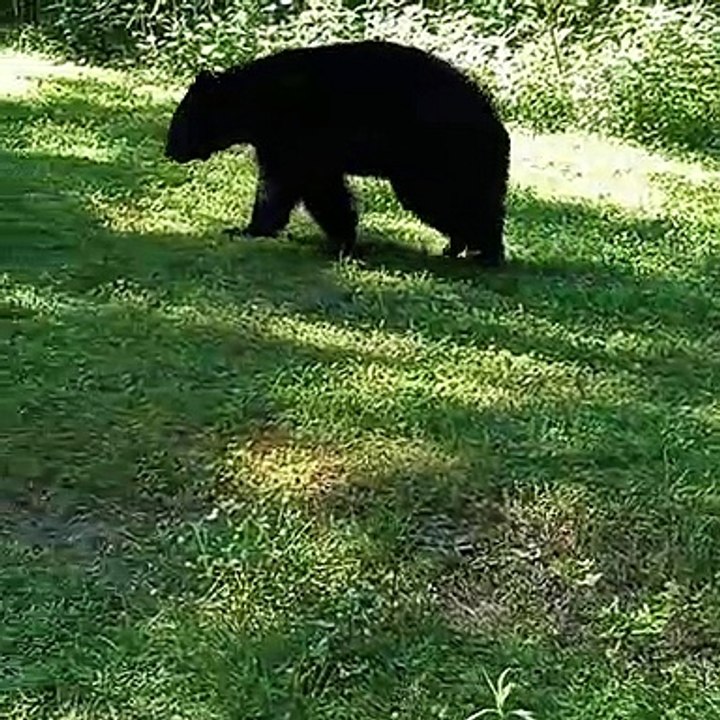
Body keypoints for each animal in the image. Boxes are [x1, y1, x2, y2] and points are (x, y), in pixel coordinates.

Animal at [165, 40, 510, 266]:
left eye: (180, 119)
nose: (169, 150)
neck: (256, 102)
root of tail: (495, 122)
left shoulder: (294, 134)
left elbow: (295, 186)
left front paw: (250, 229)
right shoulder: (293, 145)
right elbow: (304, 187)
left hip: (438, 151)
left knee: (447, 198)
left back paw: (486, 252)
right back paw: (458, 246)